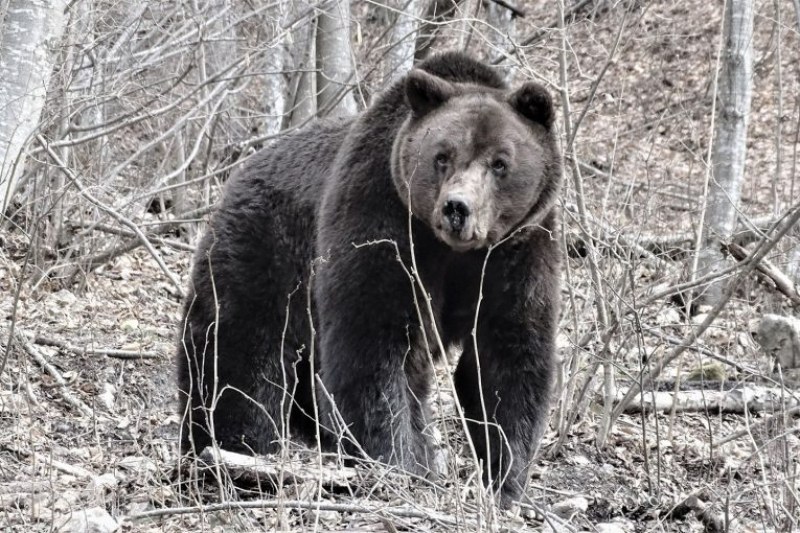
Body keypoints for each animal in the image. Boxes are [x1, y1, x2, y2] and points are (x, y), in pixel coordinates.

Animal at [177, 52, 564, 504]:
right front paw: (395, 466)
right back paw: (232, 455)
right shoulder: (381, 216)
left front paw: (505, 481)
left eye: (500, 162)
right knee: (237, 353)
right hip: (264, 248)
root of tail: (239, 174)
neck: (453, 253)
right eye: (442, 156)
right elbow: (373, 342)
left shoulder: (515, 253)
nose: (457, 207)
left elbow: (505, 359)